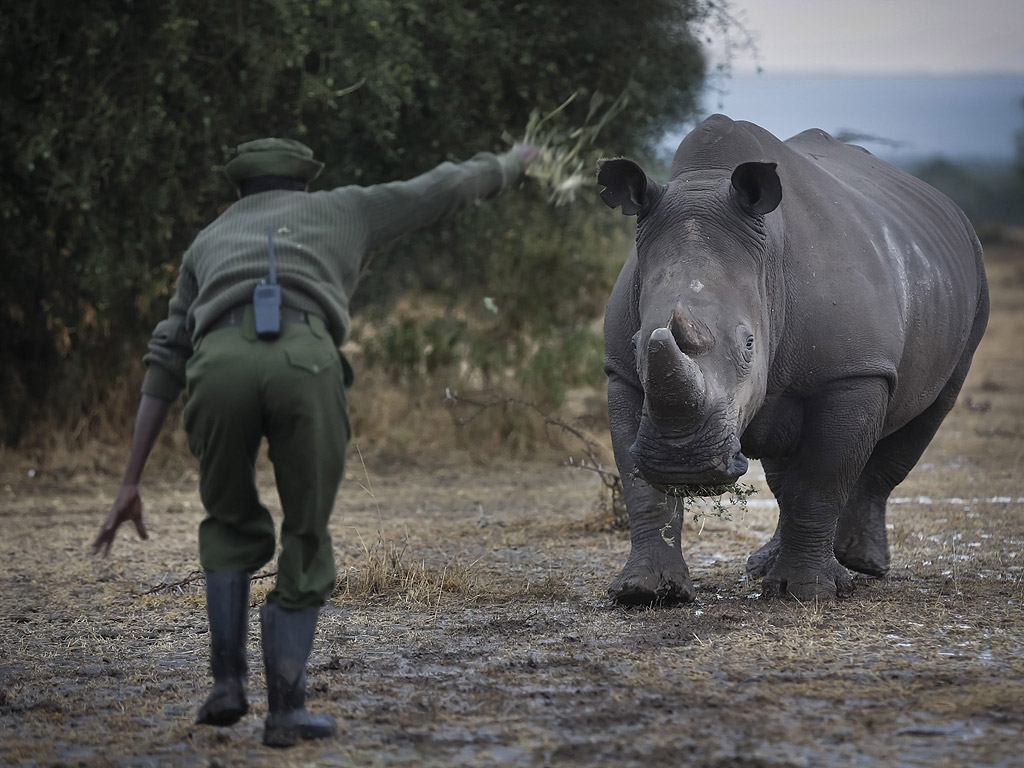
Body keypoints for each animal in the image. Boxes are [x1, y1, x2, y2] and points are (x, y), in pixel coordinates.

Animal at [598, 114, 987, 606]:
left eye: (749, 344)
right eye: (635, 344)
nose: (681, 463)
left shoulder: (853, 373)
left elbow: (821, 478)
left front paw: (808, 593)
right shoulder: (622, 373)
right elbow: (641, 487)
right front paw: (645, 592)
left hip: (971, 285)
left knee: (926, 418)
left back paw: (861, 565)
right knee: (783, 467)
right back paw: (767, 567)